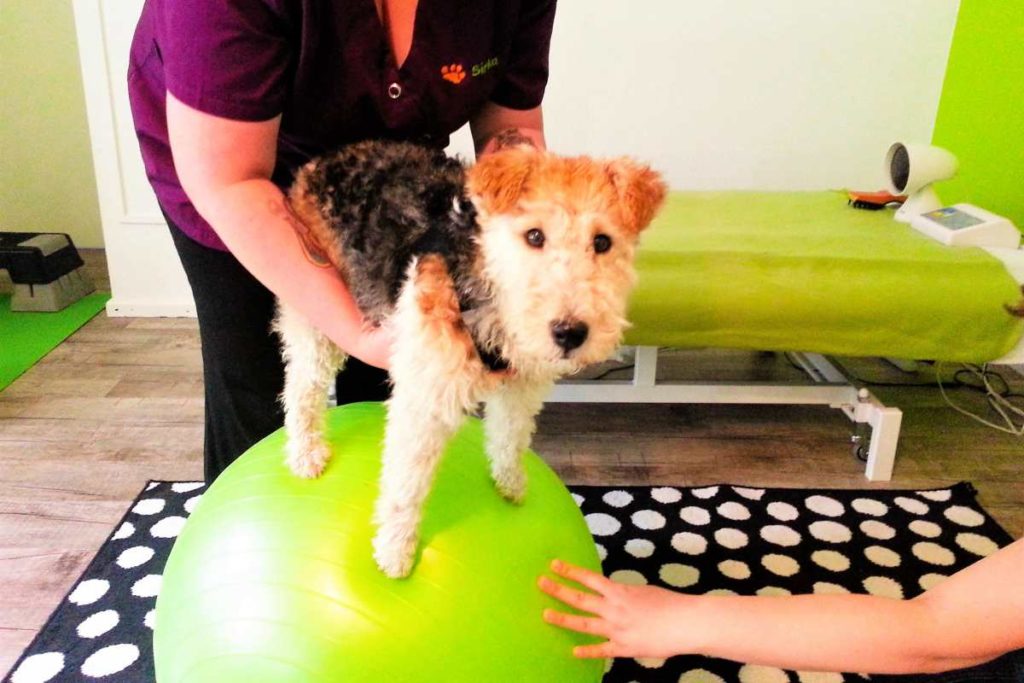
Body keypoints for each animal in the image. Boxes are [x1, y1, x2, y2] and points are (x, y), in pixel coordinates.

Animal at [276, 140, 667, 577]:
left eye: (602, 242)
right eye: (534, 235)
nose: (569, 333)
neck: (487, 283)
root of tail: (321, 163)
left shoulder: (521, 384)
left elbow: (510, 435)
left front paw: (510, 483)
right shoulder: (427, 396)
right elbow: (406, 483)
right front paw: (395, 552)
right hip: (314, 308)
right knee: (302, 388)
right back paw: (306, 455)